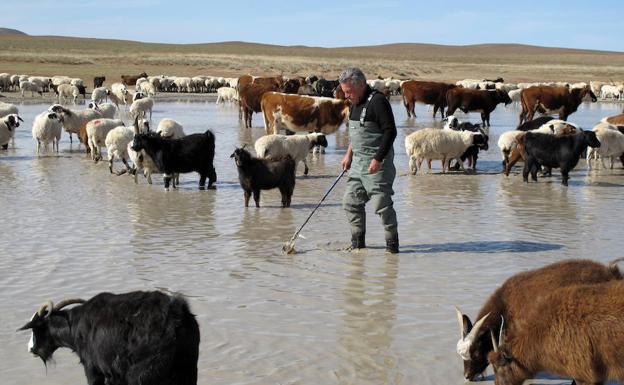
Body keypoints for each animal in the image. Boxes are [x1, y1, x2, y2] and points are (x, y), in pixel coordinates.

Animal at [19, 292, 200, 384]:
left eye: (35, 328)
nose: (30, 348)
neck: (75, 325)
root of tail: (177, 315)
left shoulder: (93, 369)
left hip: (143, 374)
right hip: (188, 367)